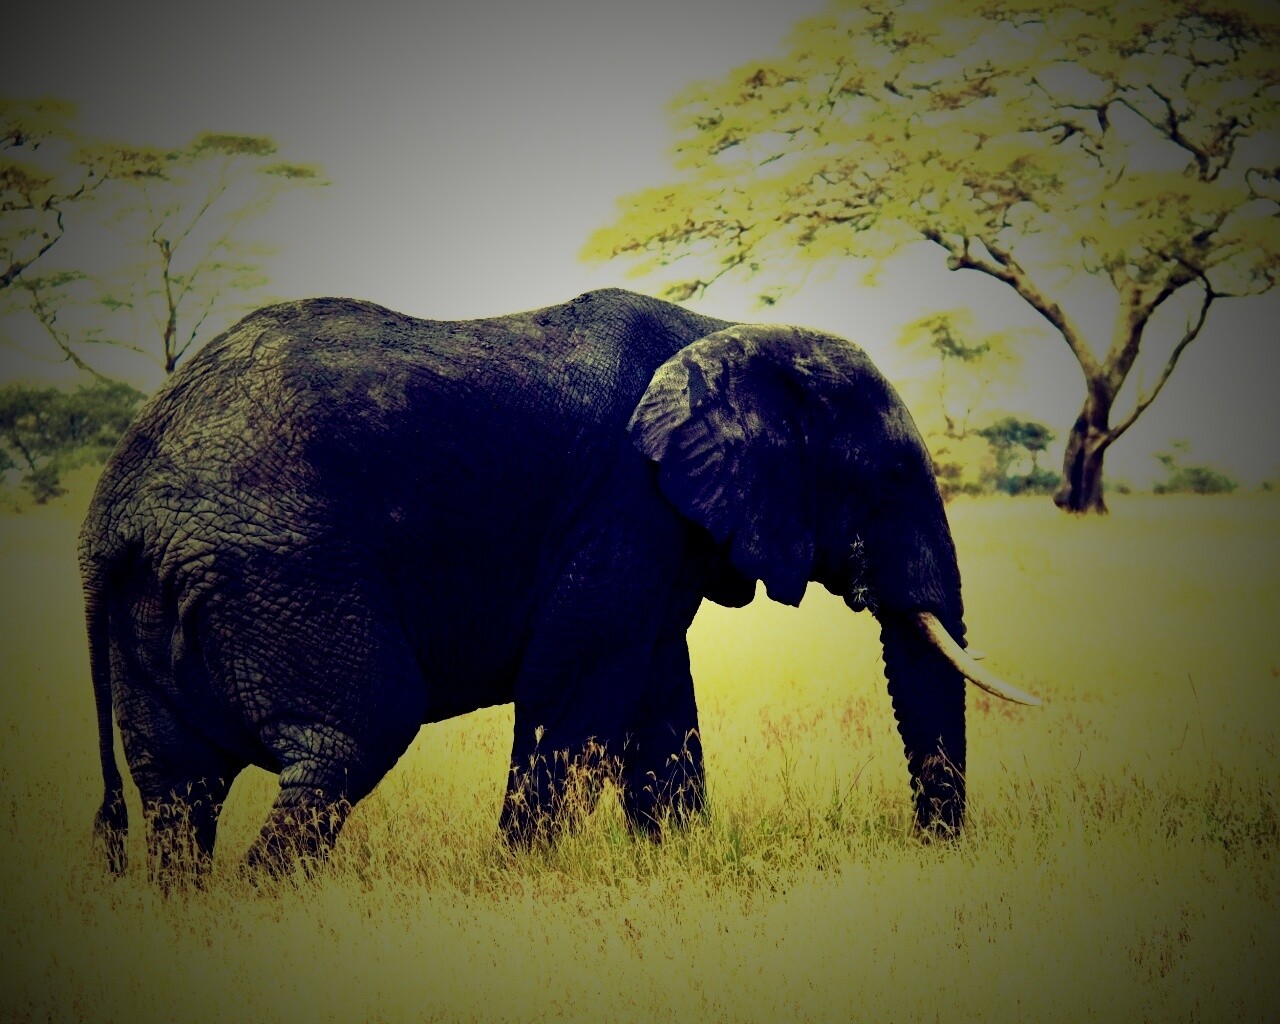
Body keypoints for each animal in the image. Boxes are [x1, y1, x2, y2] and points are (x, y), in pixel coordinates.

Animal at [80, 287, 1037, 879]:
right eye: (891, 478)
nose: (930, 848)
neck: (727, 328)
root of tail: (112, 517)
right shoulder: (624, 501)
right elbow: (574, 687)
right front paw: (520, 879)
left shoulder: (657, 529)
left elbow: (658, 698)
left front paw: (676, 864)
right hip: (281, 572)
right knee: (353, 734)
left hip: (169, 597)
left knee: (178, 786)